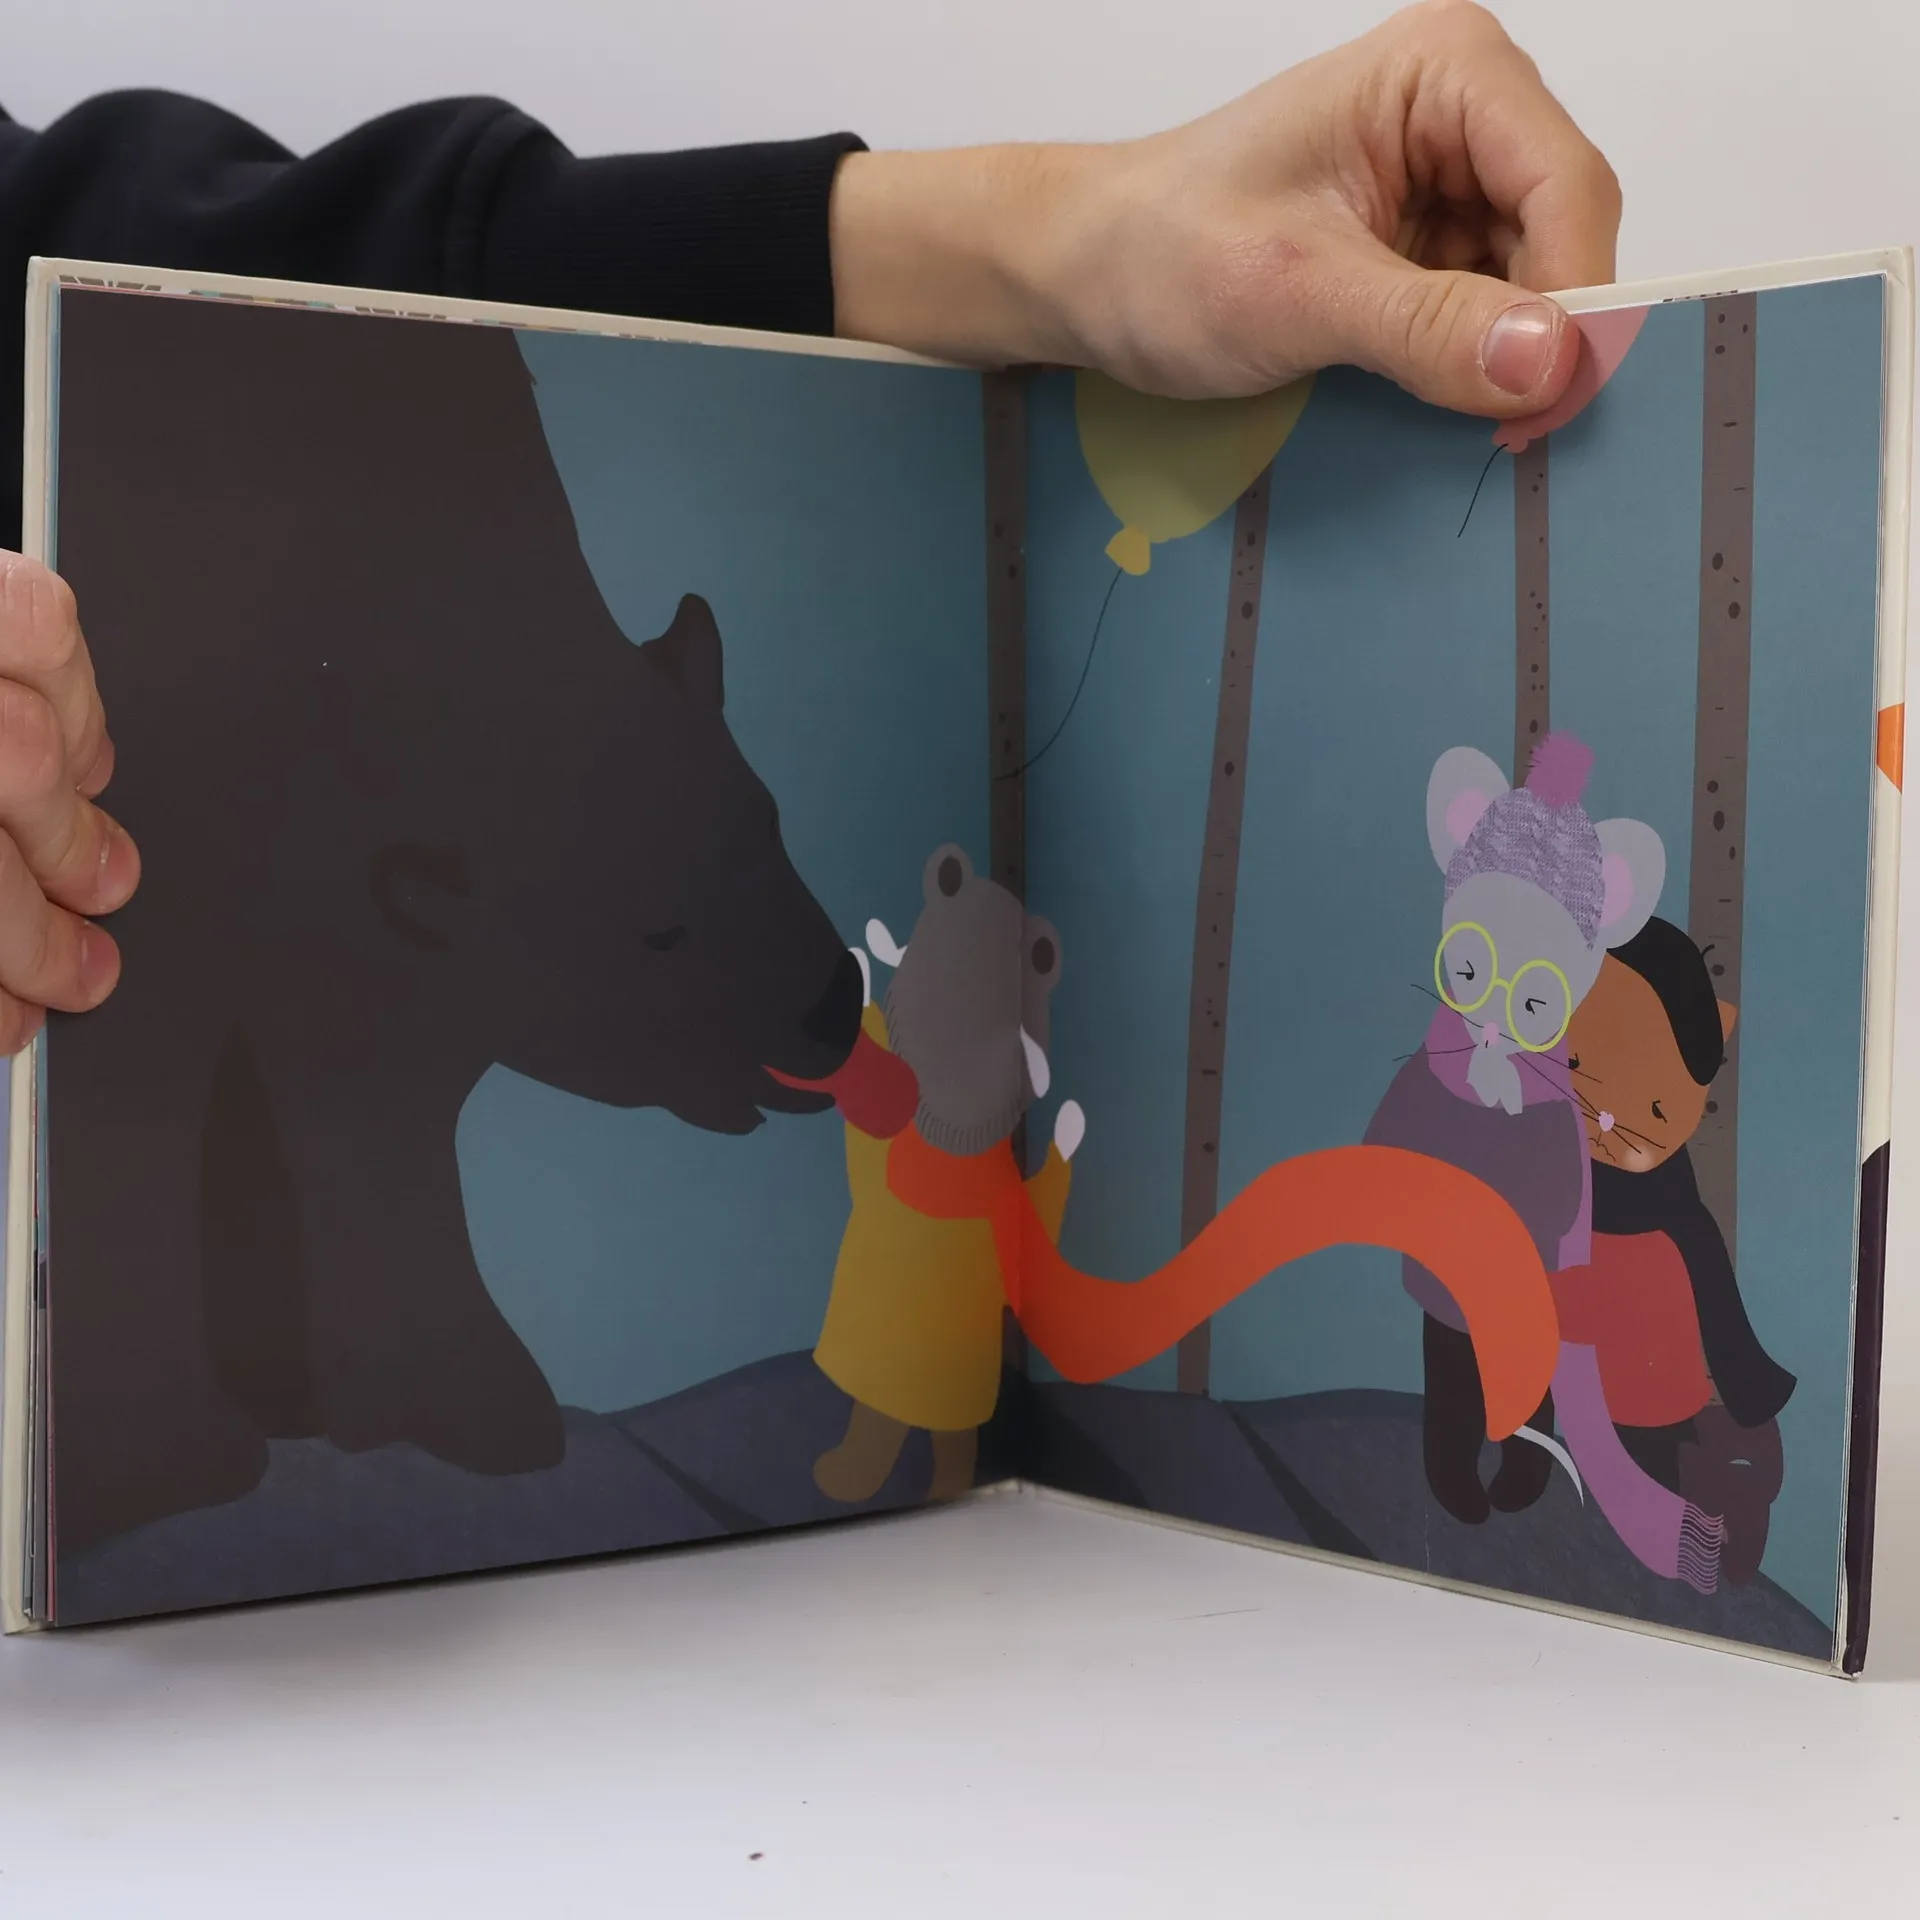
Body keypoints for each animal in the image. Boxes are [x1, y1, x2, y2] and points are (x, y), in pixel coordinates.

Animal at [45, 288, 863, 1559]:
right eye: (657, 935)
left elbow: (384, 1106)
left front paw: (461, 1404)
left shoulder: (366, 932)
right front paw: (154, 1471)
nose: (835, 1001)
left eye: (769, 819)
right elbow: (143, 1086)